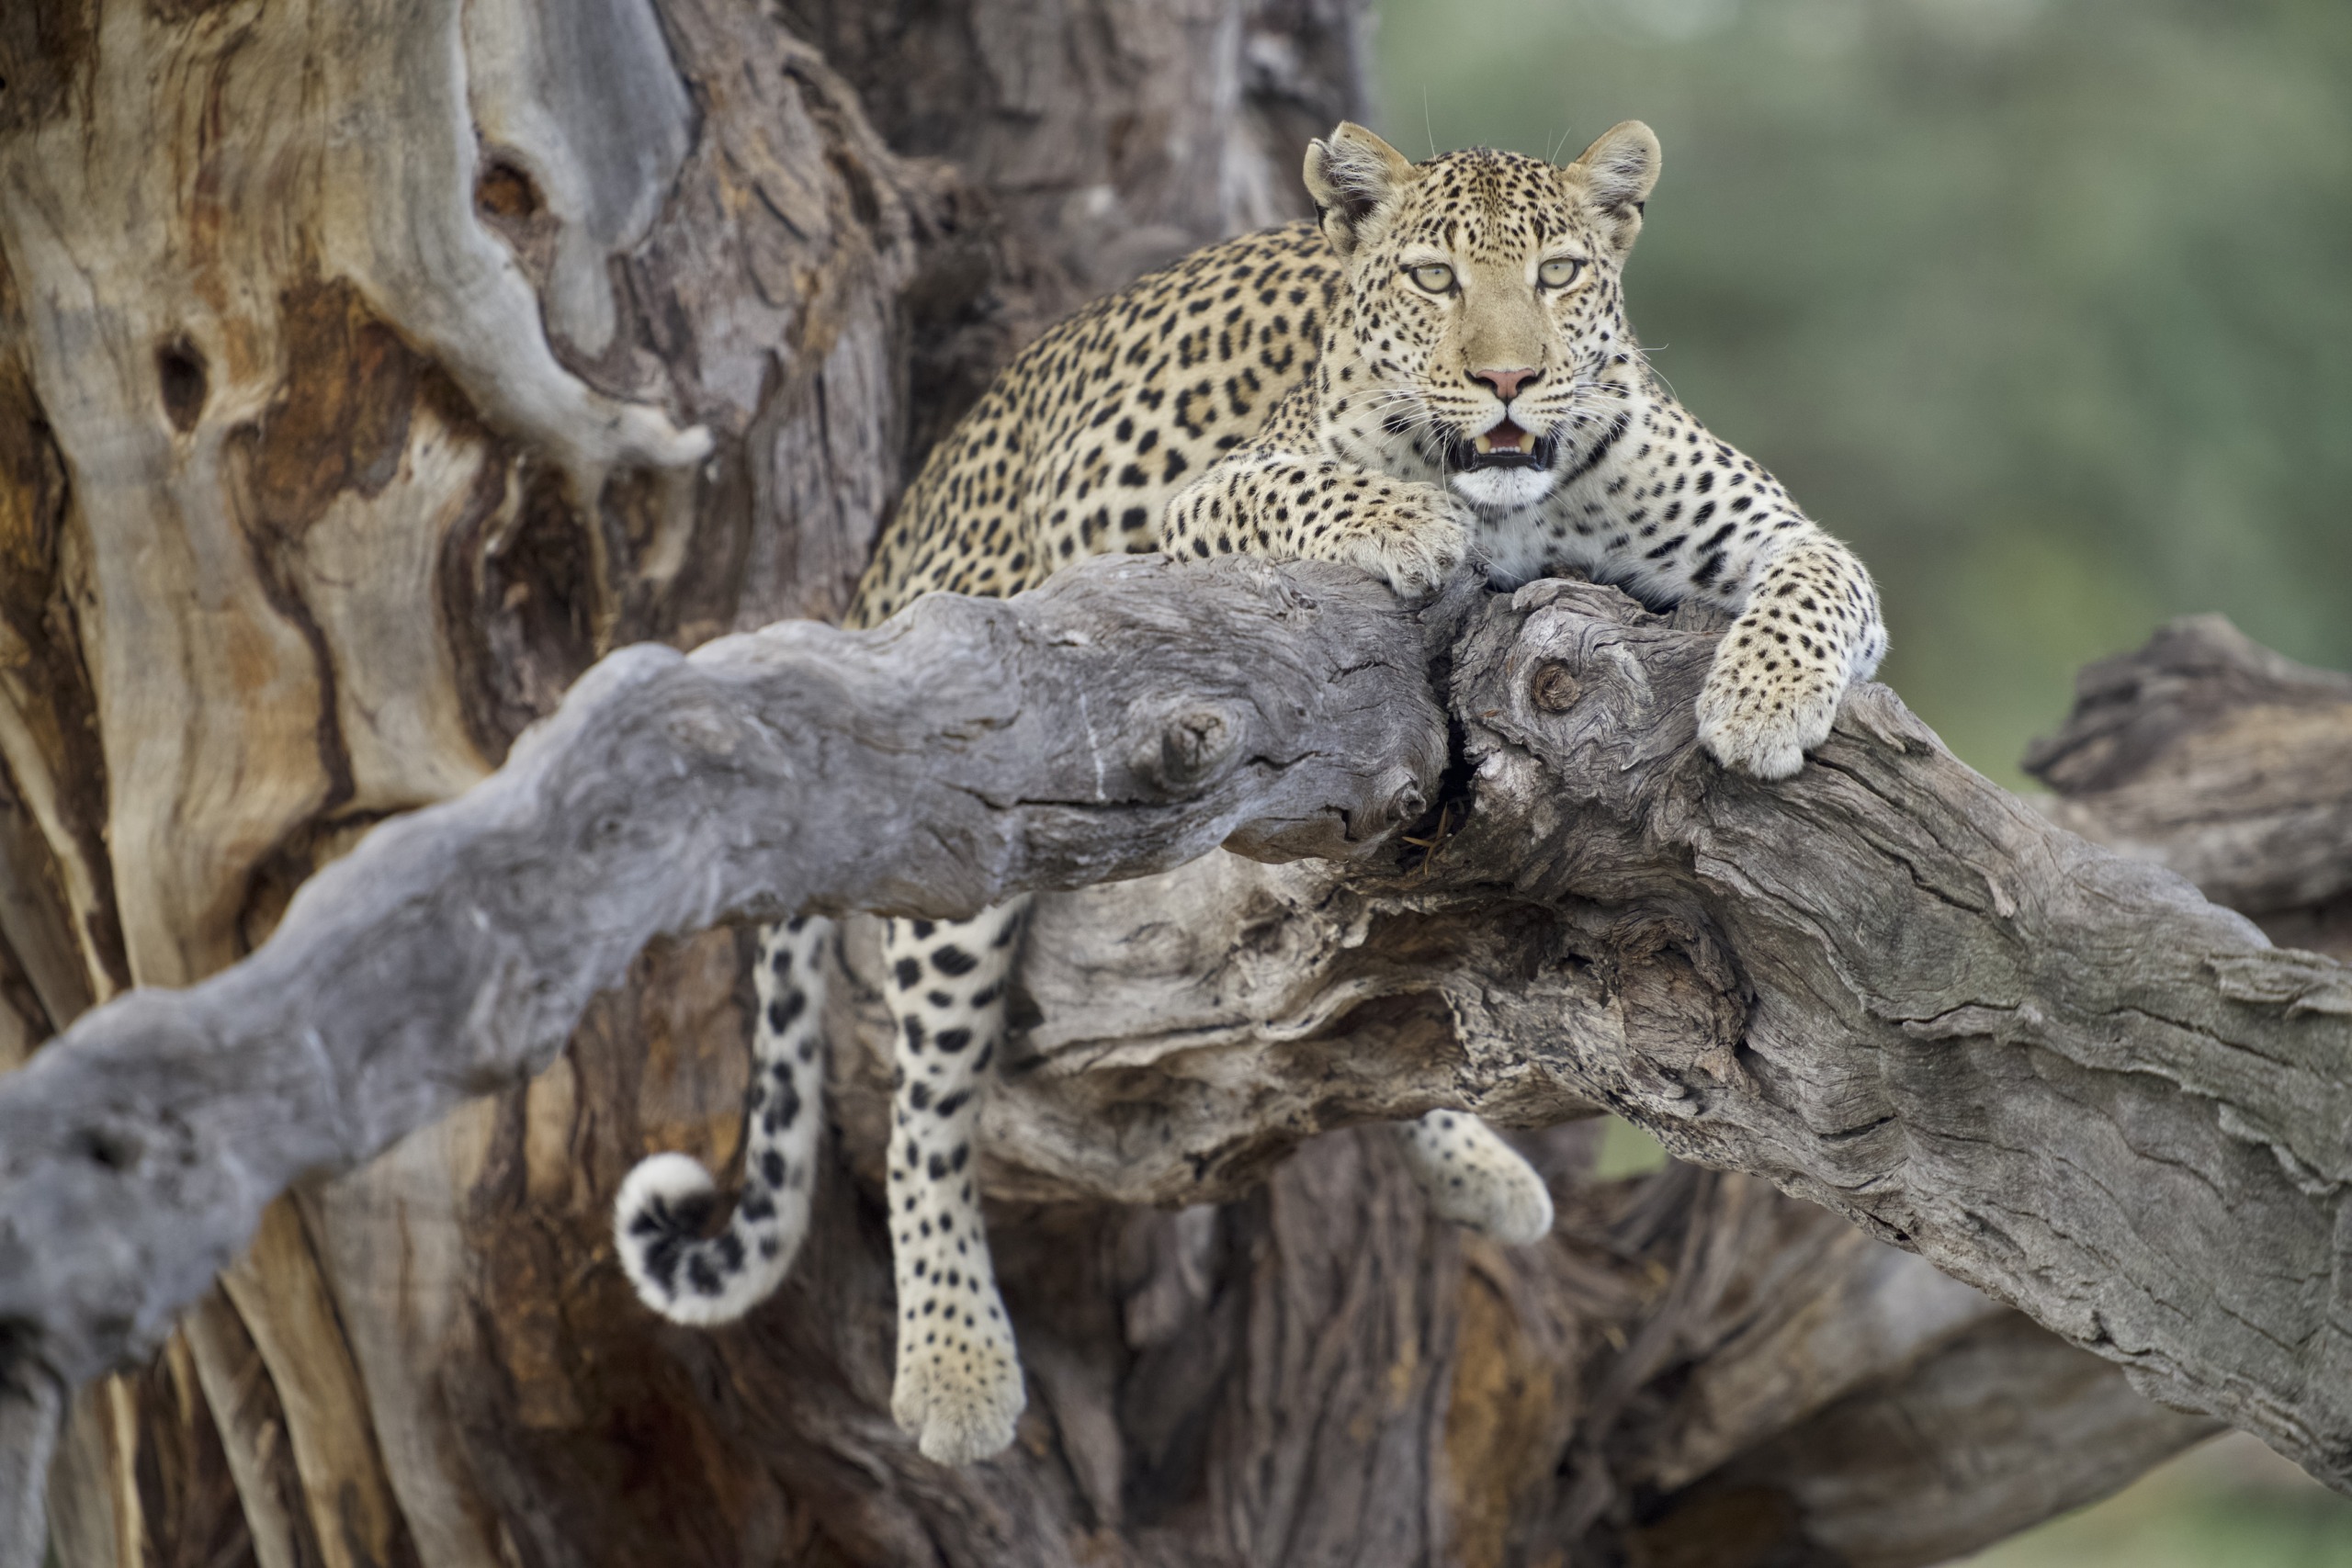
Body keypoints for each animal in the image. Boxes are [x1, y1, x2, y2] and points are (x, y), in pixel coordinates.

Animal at [611, 119, 1891, 1476]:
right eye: (1433, 278)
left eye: (1556, 274)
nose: (1505, 379)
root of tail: (897, 537)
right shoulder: (1206, 500)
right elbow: (1301, 487)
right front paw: (1406, 518)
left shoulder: (1776, 532)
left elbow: (1821, 577)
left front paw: (1761, 697)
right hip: (969, 796)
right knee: (927, 1104)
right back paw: (956, 1363)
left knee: (1366, 1005)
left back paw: (1469, 1160)